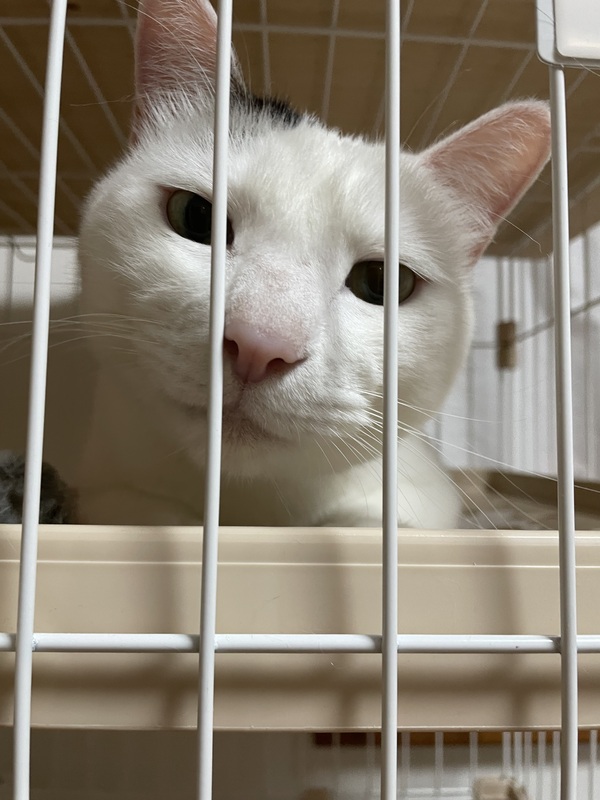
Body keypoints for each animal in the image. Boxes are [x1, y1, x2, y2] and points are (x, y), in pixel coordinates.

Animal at [75, 0, 551, 527]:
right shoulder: (102, 486)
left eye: (383, 282)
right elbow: (143, 511)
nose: (260, 344)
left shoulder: (427, 499)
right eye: (196, 216)